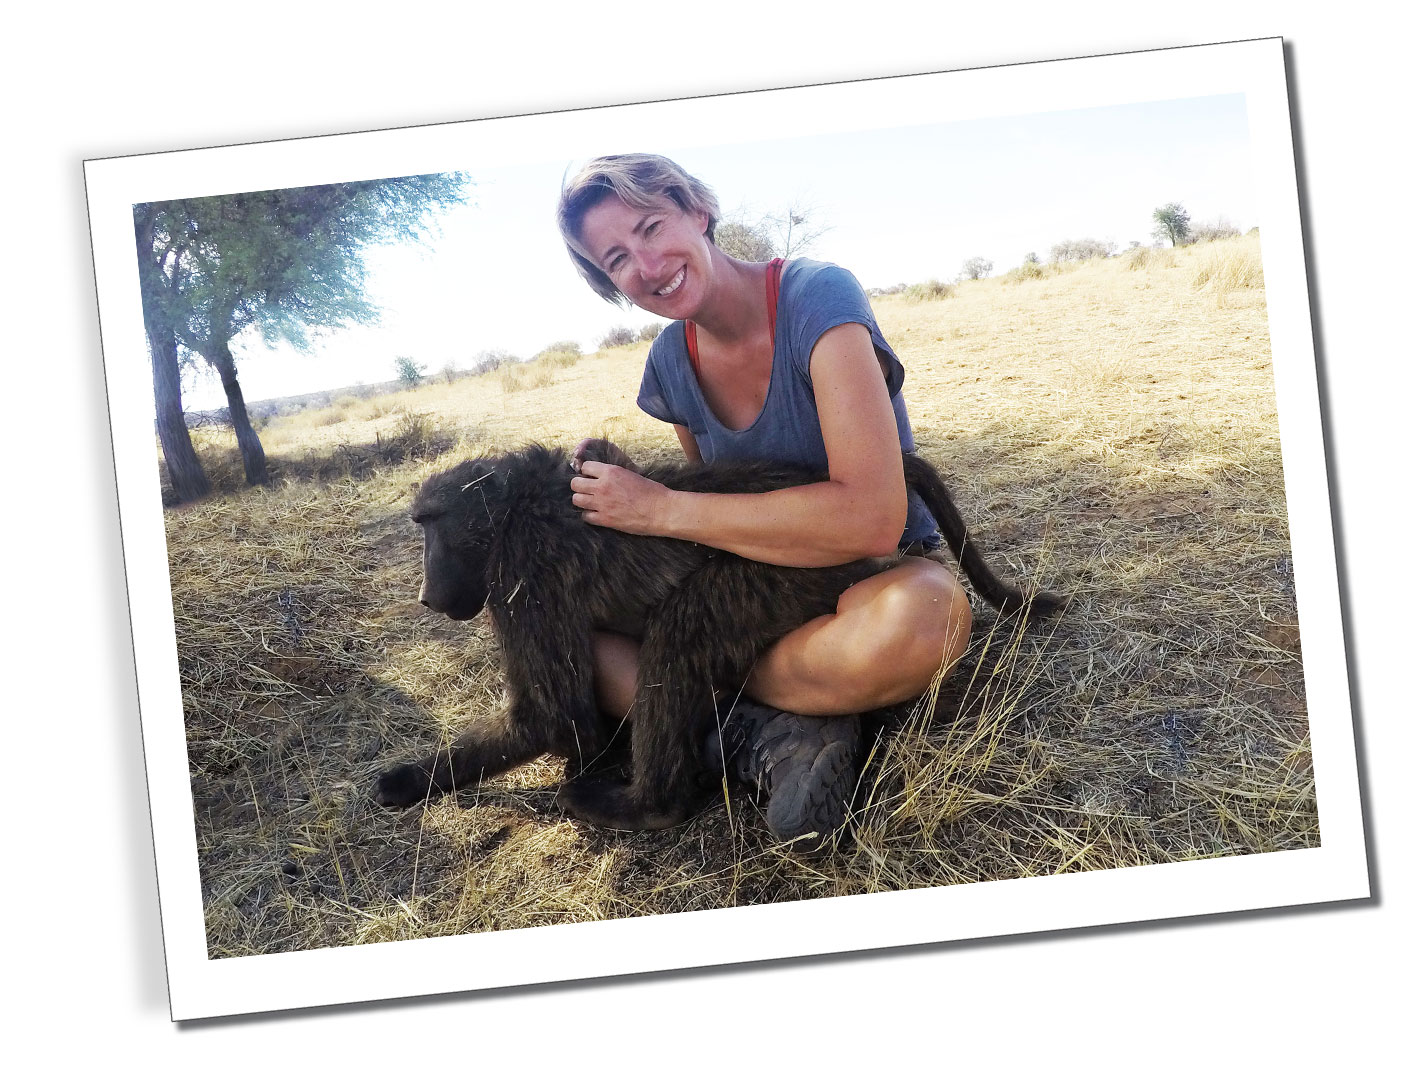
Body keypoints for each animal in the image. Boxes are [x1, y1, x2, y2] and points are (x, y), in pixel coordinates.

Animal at [375, 440, 1060, 831]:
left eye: (430, 525)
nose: (426, 595)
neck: (517, 504)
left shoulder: (522, 568)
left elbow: (550, 718)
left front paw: (406, 782)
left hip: (780, 575)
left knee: (680, 632)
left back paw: (645, 807)